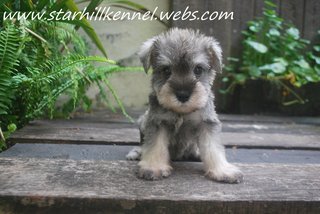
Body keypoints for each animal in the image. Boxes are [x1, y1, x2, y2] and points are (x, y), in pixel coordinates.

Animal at [126, 27, 244, 183]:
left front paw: (223, 170)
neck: (181, 112)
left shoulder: (207, 123)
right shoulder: (158, 122)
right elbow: (155, 145)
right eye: (166, 70)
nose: (183, 95)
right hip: (143, 120)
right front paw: (153, 167)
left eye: (198, 69)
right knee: (144, 143)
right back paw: (138, 152)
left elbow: (212, 147)